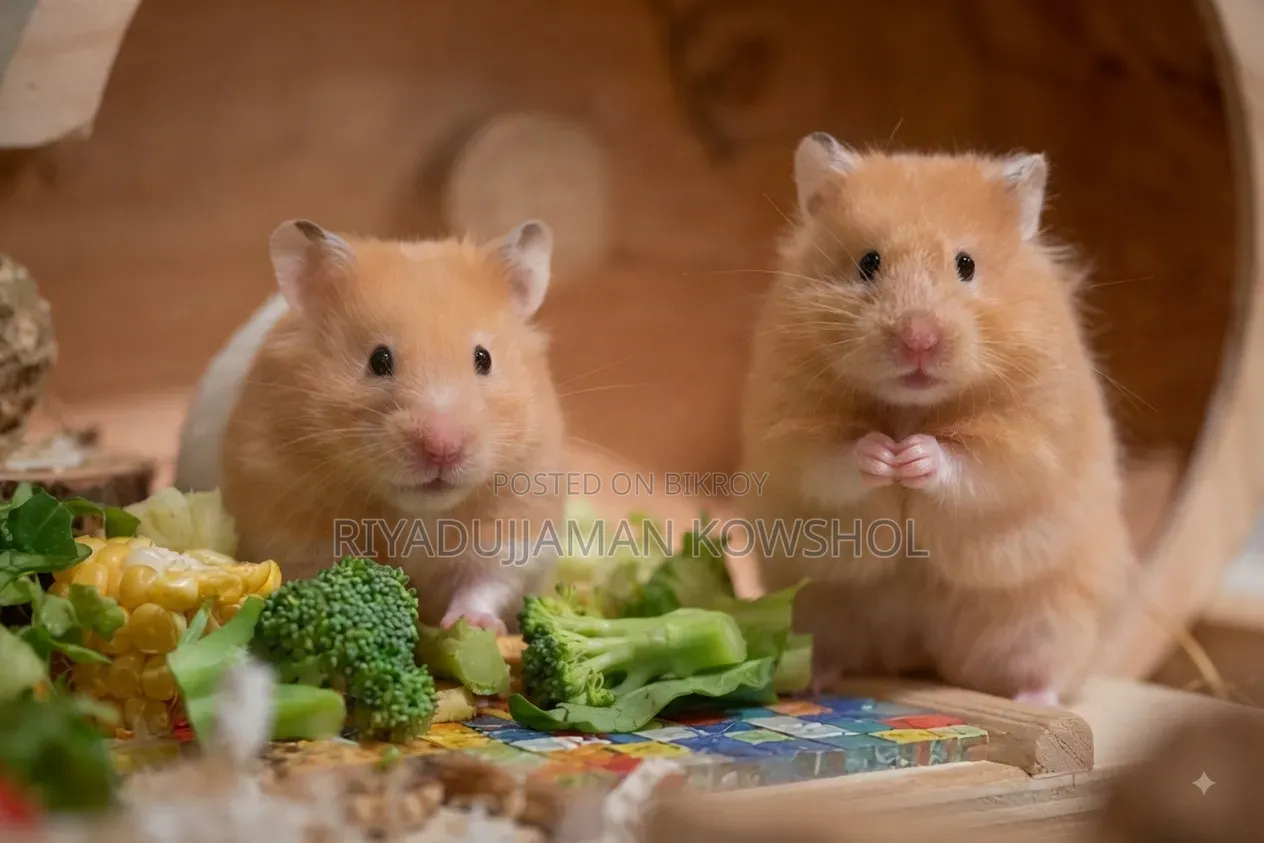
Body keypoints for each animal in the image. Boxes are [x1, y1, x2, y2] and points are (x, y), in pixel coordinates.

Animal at [174, 219, 566, 633]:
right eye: (379, 360)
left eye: (484, 358)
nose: (442, 448)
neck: (417, 511)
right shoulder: (290, 521)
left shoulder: (517, 522)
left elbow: (486, 582)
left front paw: (472, 627)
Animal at [737, 132, 1132, 705]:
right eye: (869, 262)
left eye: (965, 264)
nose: (917, 340)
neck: (911, 406)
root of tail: (914, 654)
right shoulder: (788, 425)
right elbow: (832, 458)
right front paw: (885, 455)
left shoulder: (1030, 437)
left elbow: (974, 464)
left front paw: (913, 456)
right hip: (817, 611)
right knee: (831, 652)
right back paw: (812, 681)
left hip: (1044, 621)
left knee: (1044, 670)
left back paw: (1033, 700)